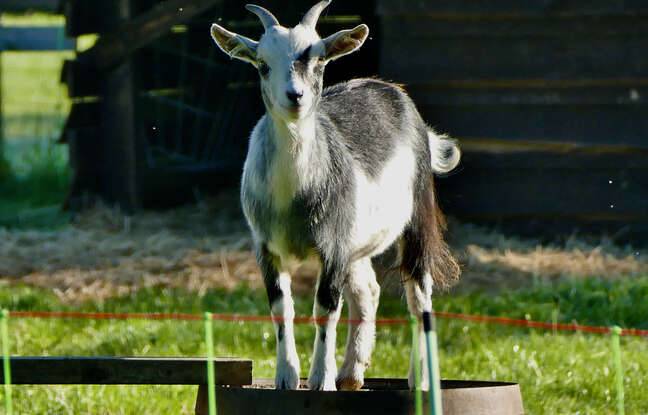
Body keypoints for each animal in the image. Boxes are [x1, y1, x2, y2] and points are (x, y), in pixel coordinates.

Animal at [210, 1, 461, 391]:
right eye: (263, 64)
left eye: (319, 60)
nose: (295, 96)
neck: (293, 199)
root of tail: (389, 88)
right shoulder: (266, 247)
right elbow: (281, 309)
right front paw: (287, 376)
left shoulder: (333, 247)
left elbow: (325, 310)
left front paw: (319, 380)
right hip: (357, 243)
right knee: (369, 291)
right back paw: (352, 374)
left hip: (417, 216)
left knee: (419, 298)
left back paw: (419, 379)